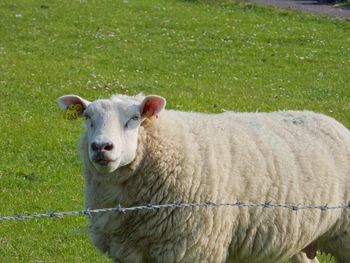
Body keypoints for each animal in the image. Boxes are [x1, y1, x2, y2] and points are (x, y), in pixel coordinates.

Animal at [57, 94, 350, 262]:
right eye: (87, 117)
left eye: (135, 117)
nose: (101, 147)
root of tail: (331, 122)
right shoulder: (130, 252)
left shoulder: (193, 249)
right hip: (304, 238)